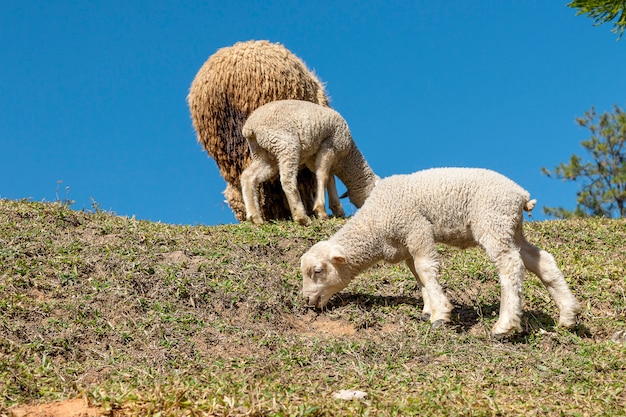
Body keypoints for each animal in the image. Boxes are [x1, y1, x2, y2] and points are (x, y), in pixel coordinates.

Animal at [239, 99, 376, 226]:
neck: (346, 159)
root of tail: (249, 127)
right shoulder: (330, 146)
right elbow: (323, 175)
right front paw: (321, 210)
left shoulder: (313, 157)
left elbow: (329, 178)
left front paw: (337, 209)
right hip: (285, 145)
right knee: (287, 180)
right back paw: (301, 217)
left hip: (264, 155)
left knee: (248, 177)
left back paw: (255, 217)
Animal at [300, 167, 576, 338]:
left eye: (318, 271)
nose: (306, 300)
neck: (374, 225)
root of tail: (521, 195)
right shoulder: (407, 243)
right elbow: (418, 275)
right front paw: (428, 310)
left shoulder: (416, 228)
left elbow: (425, 269)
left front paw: (441, 315)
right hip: (511, 228)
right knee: (542, 261)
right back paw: (568, 315)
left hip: (492, 221)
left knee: (510, 265)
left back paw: (504, 326)